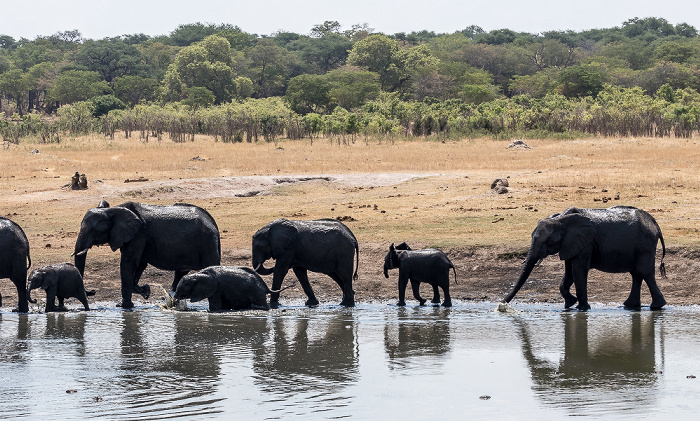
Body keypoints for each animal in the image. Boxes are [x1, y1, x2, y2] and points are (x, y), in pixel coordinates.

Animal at [74, 202, 221, 306]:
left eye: (93, 231)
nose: (92, 291)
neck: (112, 210)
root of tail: (213, 223)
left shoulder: (138, 235)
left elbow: (128, 263)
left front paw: (123, 306)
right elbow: (140, 264)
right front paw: (145, 291)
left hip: (207, 242)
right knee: (180, 273)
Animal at [504, 205, 668, 310]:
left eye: (548, 242)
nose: (502, 304)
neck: (561, 219)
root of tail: (655, 223)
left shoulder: (585, 243)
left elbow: (578, 270)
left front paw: (582, 308)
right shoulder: (570, 244)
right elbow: (569, 273)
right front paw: (570, 304)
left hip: (645, 245)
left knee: (644, 272)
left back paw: (657, 306)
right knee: (636, 274)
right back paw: (630, 306)